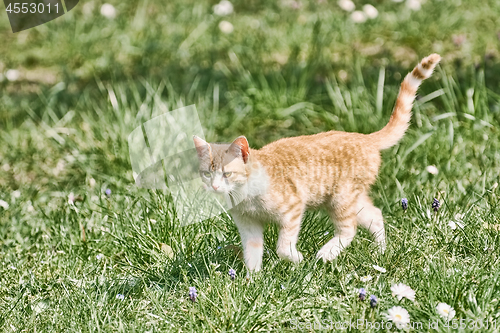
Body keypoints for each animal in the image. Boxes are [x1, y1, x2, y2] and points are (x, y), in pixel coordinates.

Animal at [193, 53, 440, 270]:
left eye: (227, 173)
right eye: (207, 173)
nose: (214, 186)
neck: (245, 195)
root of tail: (364, 137)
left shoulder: (293, 207)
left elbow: (283, 246)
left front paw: (296, 258)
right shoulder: (248, 225)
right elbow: (252, 253)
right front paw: (251, 282)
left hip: (341, 197)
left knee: (349, 228)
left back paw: (326, 254)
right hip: (351, 198)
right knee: (375, 216)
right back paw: (380, 253)